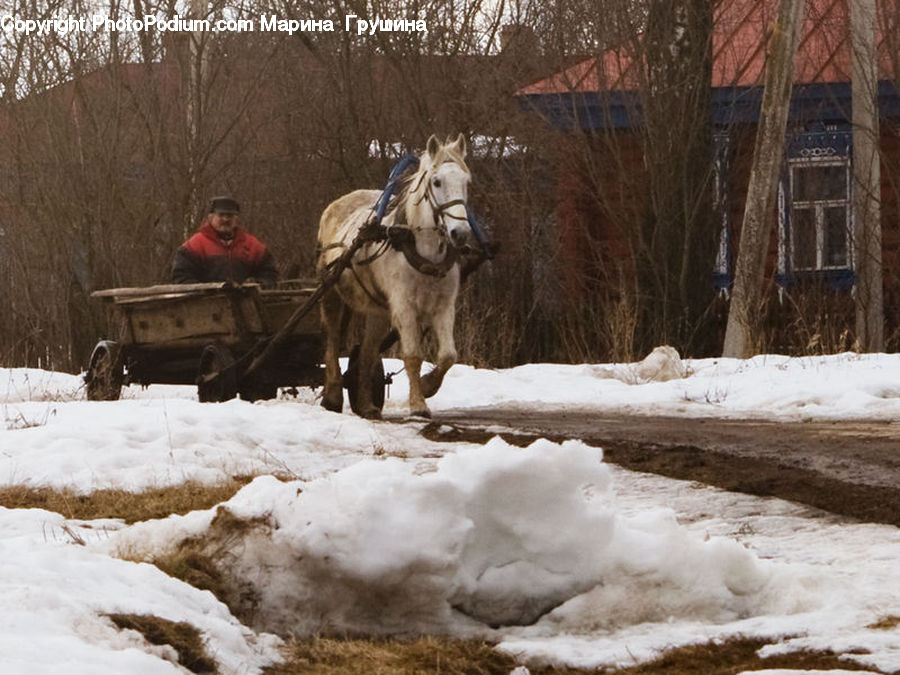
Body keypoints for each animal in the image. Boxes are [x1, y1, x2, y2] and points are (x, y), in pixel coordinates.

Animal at [316, 134, 475, 418]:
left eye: (466, 182)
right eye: (437, 182)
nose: (461, 232)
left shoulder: (444, 306)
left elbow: (448, 355)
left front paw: (428, 385)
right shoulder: (404, 306)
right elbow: (412, 355)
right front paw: (418, 404)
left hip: (377, 310)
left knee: (367, 353)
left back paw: (366, 404)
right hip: (331, 293)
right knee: (332, 341)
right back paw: (332, 396)